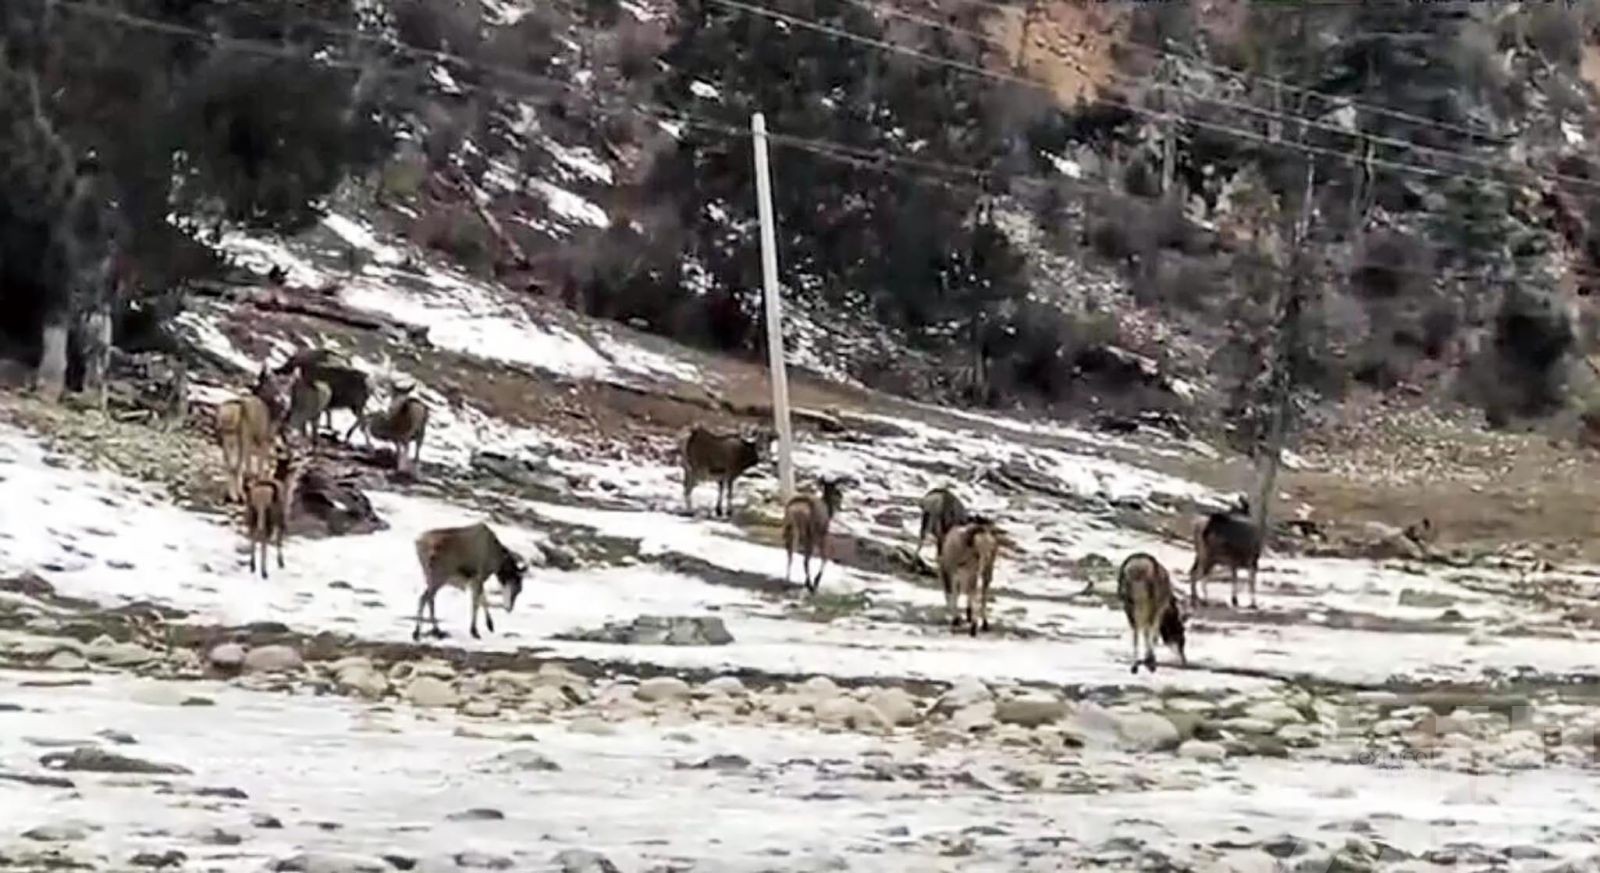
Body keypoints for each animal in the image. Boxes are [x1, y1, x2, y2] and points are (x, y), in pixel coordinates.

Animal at [240, 441, 302, 578]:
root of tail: (259, 494)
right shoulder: (283, 517)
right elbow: (279, 540)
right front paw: (281, 563)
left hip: (251, 511)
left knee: (252, 533)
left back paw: (252, 566)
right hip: (269, 513)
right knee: (263, 536)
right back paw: (264, 571)